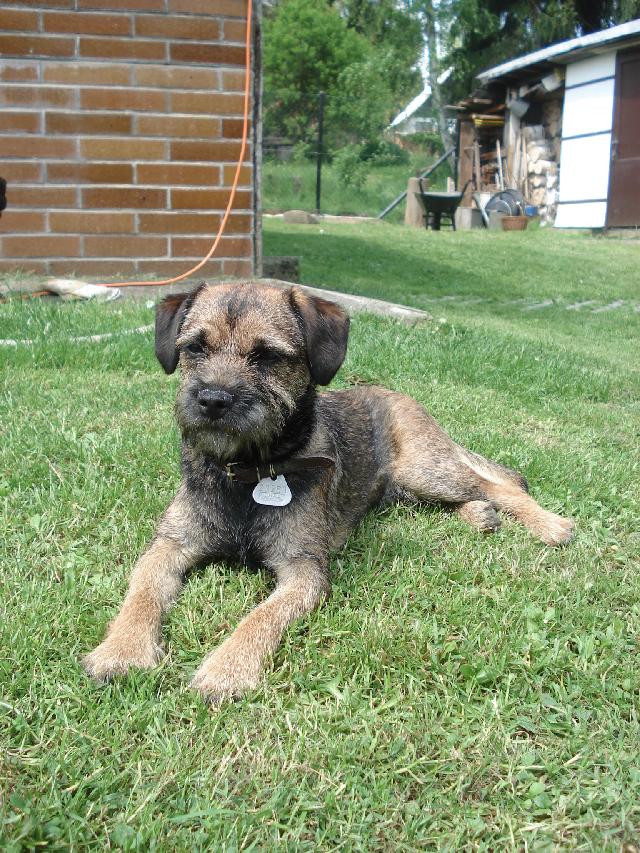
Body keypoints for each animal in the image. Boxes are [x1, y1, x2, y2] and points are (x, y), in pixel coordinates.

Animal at [83, 281, 574, 702]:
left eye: (267, 356)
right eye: (195, 348)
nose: (213, 400)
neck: (246, 473)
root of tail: (398, 395)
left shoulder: (304, 571)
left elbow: (260, 617)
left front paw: (226, 670)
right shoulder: (169, 545)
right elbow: (142, 593)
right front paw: (121, 651)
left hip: (426, 469)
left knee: (501, 484)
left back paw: (549, 524)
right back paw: (479, 515)